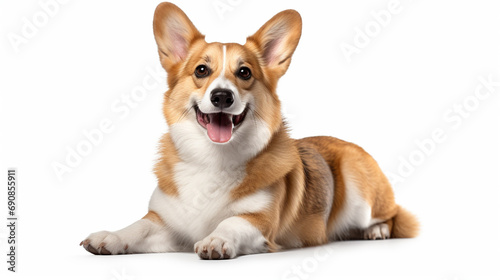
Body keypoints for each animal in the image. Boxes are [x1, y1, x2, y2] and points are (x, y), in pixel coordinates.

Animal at [81, 2, 418, 260]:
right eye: (201, 70)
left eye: (244, 73)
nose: (222, 97)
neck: (213, 159)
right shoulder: (166, 223)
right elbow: (138, 227)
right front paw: (109, 237)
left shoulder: (258, 221)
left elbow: (231, 223)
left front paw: (216, 240)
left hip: (358, 190)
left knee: (393, 214)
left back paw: (377, 230)